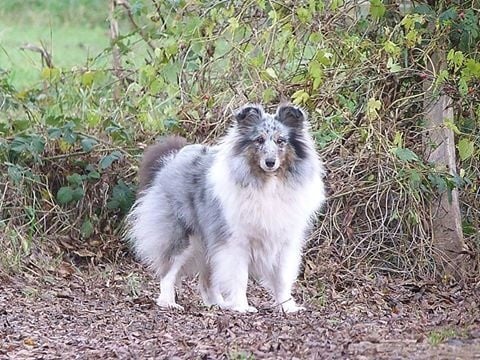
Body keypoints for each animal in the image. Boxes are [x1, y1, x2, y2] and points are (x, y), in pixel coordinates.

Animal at [125, 103, 324, 312]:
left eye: (281, 141)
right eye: (259, 140)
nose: (270, 162)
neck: (268, 184)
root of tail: (172, 158)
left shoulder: (285, 241)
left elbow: (282, 278)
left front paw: (288, 307)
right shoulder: (235, 241)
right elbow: (239, 276)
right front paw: (242, 307)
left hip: (209, 242)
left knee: (206, 280)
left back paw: (218, 304)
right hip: (182, 235)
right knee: (168, 270)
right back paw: (168, 302)